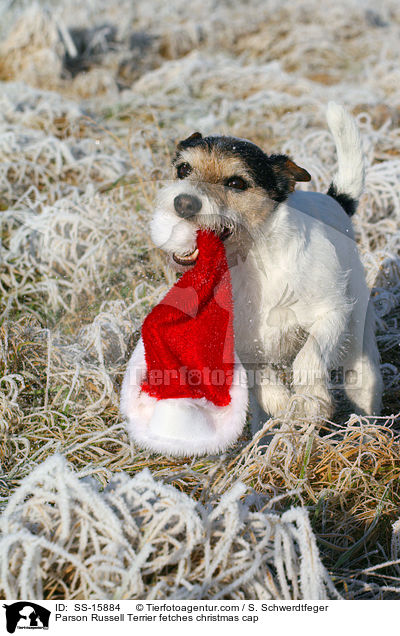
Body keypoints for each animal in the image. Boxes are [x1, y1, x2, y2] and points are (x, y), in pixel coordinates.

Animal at [148, 104, 382, 432]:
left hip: (359, 350)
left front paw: (310, 401)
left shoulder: (331, 314)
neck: (252, 262)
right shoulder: (240, 343)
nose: (183, 203)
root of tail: (335, 202)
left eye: (236, 183)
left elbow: (309, 355)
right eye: (184, 169)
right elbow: (258, 372)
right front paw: (280, 402)